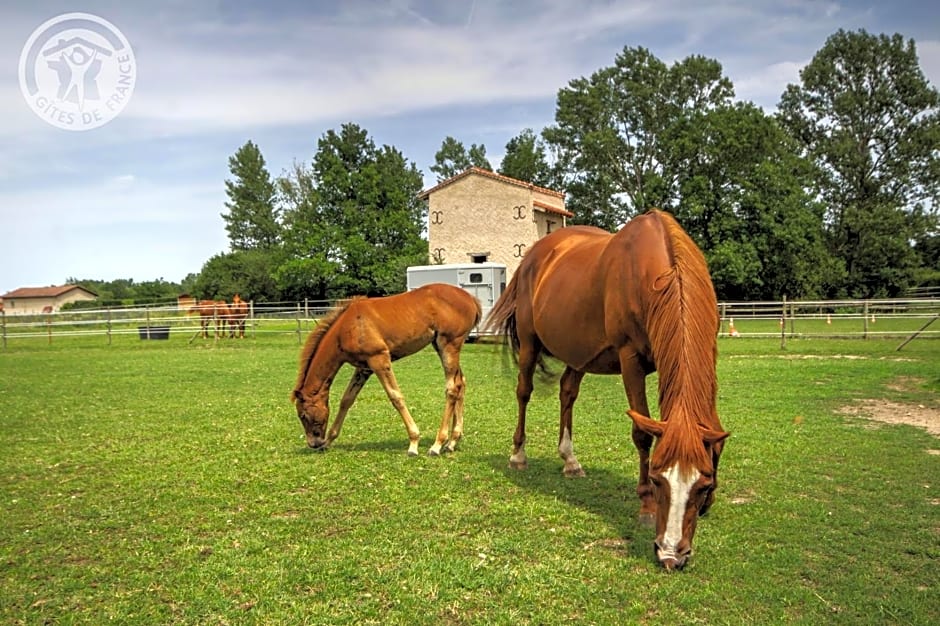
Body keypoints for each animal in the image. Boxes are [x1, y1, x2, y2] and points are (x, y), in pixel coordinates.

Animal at [290, 282, 482, 454]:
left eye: (303, 415)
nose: (313, 444)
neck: (346, 328)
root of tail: (471, 299)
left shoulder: (379, 359)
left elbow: (395, 397)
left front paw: (413, 442)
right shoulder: (364, 368)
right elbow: (347, 399)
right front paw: (329, 440)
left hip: (448, 344)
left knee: (452, 389)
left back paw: (437, 444)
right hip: (441, 346)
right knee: (460, 383)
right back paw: (452, 441)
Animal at [484, 210, 728, 572]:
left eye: (702, 484)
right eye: (657, 478)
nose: (671, 555)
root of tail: (534, 255)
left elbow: (714, 436)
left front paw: (710, 501)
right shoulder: (631, 359)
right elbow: (641, 433)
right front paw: (645, 507)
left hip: (578, 352)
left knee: (567, 393)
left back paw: (570, 460)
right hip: (528, 343)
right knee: (523, 391)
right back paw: (518, 455)